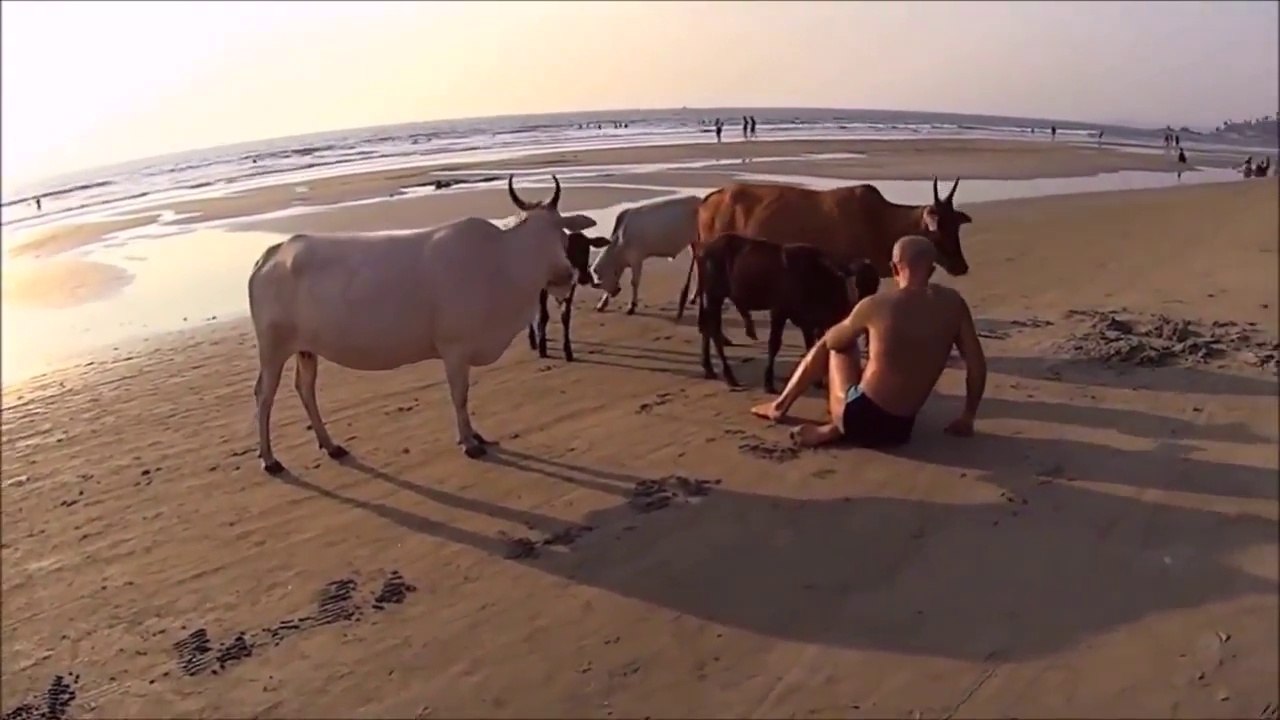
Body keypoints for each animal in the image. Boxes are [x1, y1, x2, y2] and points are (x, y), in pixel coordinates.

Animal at [247, 175, 596, 472]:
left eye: (560, 230)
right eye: (533, 235)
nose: (565, 276)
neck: (501, 262)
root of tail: (270, 255)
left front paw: (476, 435)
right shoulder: (455, 349)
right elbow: (460, 395)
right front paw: (469, 442)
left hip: (306, 348)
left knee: (305, 388)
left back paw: (330, 445)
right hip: (273, 347)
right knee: (264, 394)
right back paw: (269, 459)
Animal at [527, 230, 610, 361]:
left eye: (587, 249)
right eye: (570, 251)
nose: (584, 278)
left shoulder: (571, 288)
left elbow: (565, 316)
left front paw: (568, 350)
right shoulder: (542, 289)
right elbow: (543, 316)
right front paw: (542, 348)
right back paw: (533, 340)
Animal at [697, 232, 881, 393]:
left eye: (873, 286)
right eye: (856, 284)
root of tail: (705, 248)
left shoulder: (807, 321)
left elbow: (810, 346)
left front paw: (815, 381)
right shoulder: (779, 311)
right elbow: (774, 344)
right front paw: (769, 383)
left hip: (712, 298)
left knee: (707, 327)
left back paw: (709, 369)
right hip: (715, 296)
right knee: (713, 330)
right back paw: (729, 376)